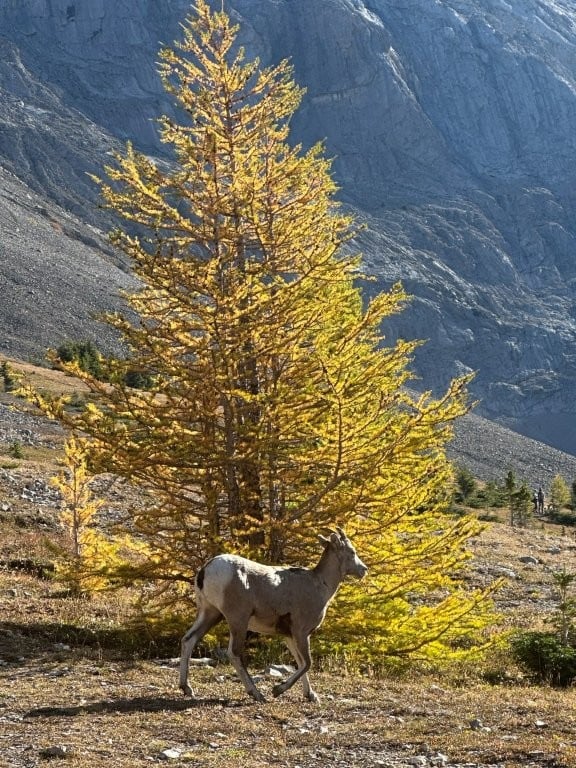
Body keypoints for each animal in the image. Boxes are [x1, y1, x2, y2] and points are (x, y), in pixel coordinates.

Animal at [179, 528, 368, 703]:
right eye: (352, 552)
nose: (364, 570)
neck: (320, 584)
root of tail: (205, 571)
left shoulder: (289, 635)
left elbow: (300, 662)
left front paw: (310, 695)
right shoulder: (301, 631)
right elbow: (307, 663)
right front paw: (277, 690)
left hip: (210, 613)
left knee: (189, 639)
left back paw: (186, 688)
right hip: (237, 619)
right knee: (234, 653)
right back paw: (257, 694)